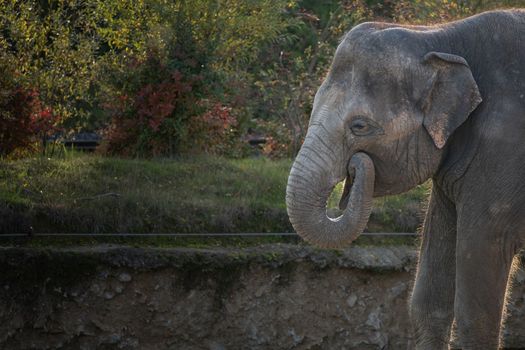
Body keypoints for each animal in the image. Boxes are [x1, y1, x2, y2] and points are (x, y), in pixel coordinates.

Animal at [284, 8, 524, 350]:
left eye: (359, 126)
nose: (356, 166)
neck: (440, 36)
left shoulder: (504, 150)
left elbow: (481, 273)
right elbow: (428, 296)